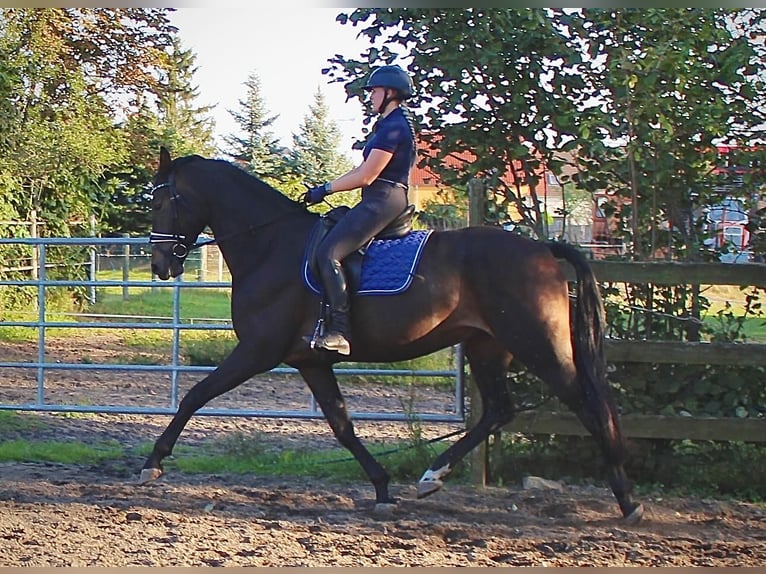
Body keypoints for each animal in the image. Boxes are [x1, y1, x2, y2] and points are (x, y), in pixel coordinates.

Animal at [141, 148, 644, 528]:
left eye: (162, 202)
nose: (161, 264)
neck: (271, 246)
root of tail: (542, 249)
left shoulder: (257, 351)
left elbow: (196, 395)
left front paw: (153, 462)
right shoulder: (311, 361)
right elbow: (342, 425)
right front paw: (382, 488)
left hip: (538, 344)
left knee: (588, 404)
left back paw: (627, 499)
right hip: (486, 346)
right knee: (500, 410)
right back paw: (432, 475)